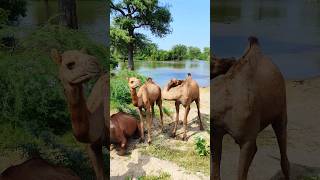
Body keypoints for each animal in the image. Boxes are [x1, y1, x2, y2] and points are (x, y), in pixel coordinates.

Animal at [210, 37, 290, 180]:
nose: (229, 59)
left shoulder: (246, 140)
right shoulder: (216, 133)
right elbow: (215, 174)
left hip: (281, 113)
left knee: (284, 157)